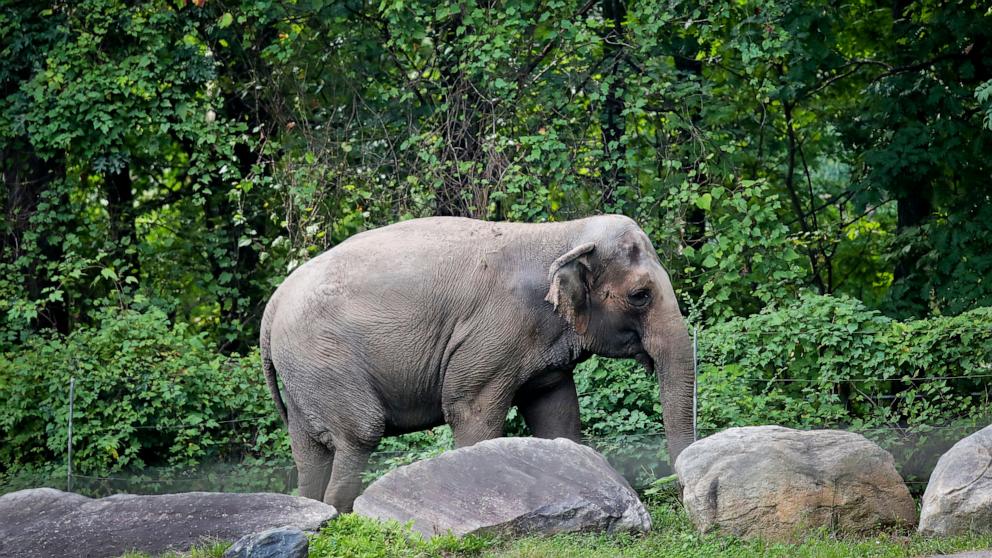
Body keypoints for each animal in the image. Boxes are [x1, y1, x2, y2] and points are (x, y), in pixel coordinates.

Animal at [261, 214, 695, 512]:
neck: (562, 234)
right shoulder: (493, 334)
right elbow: (471, 412)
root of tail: (273, 304)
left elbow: (557, 416)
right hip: (324, 359)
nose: (677, 493)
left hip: (303, 374)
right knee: (359, 434)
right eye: (640, 295)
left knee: (309, 452)